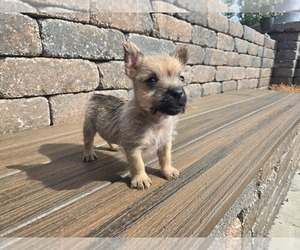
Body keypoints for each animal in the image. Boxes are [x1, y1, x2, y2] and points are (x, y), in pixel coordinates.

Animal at [82, 41, 188, 189]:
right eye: (152, 80)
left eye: (181, 78)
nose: (178, 93)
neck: (155, 120)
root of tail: (98, 95)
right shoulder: (133, 148)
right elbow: (137, 164)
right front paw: (140, 179)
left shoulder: (165, 143)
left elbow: (166, 158)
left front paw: (167, 171)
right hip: (89, 127)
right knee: (88, 141)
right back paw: (89, 154)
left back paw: (114, 146)